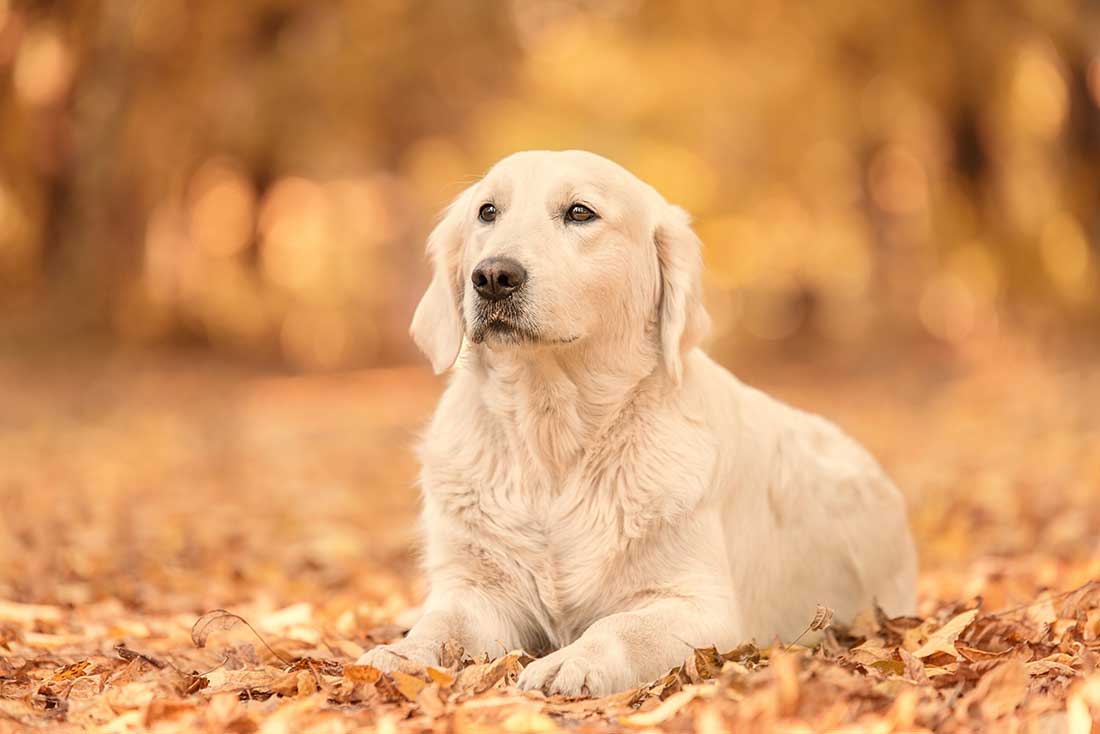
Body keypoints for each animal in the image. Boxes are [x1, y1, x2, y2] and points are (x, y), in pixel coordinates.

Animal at [356, 149, 915, 695]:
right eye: (487, 211)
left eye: (580, 212)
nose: (493, 276)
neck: (552, 437)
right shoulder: (476, 589)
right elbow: (441, 624)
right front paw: (398, 655)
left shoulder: (702, 605)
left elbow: (621, 626)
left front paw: (572, 661)